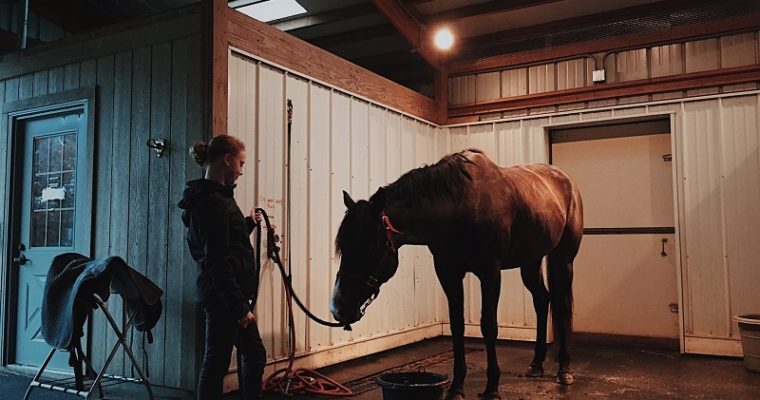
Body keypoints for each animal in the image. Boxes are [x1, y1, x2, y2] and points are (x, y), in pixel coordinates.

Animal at [330, 148, 584, 398]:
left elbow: (488, 325)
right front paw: (456, 387)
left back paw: (564, 370)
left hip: (563, 260)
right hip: (530, 262)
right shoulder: (448, 272)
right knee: (542, 300)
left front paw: (492, 388)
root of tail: (567, 182)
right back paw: (536, 364)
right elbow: (456, 325)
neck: (460, 207)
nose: (338, 307)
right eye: (343, 245)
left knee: (562, 307)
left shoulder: (490, 272)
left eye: (371, 244)